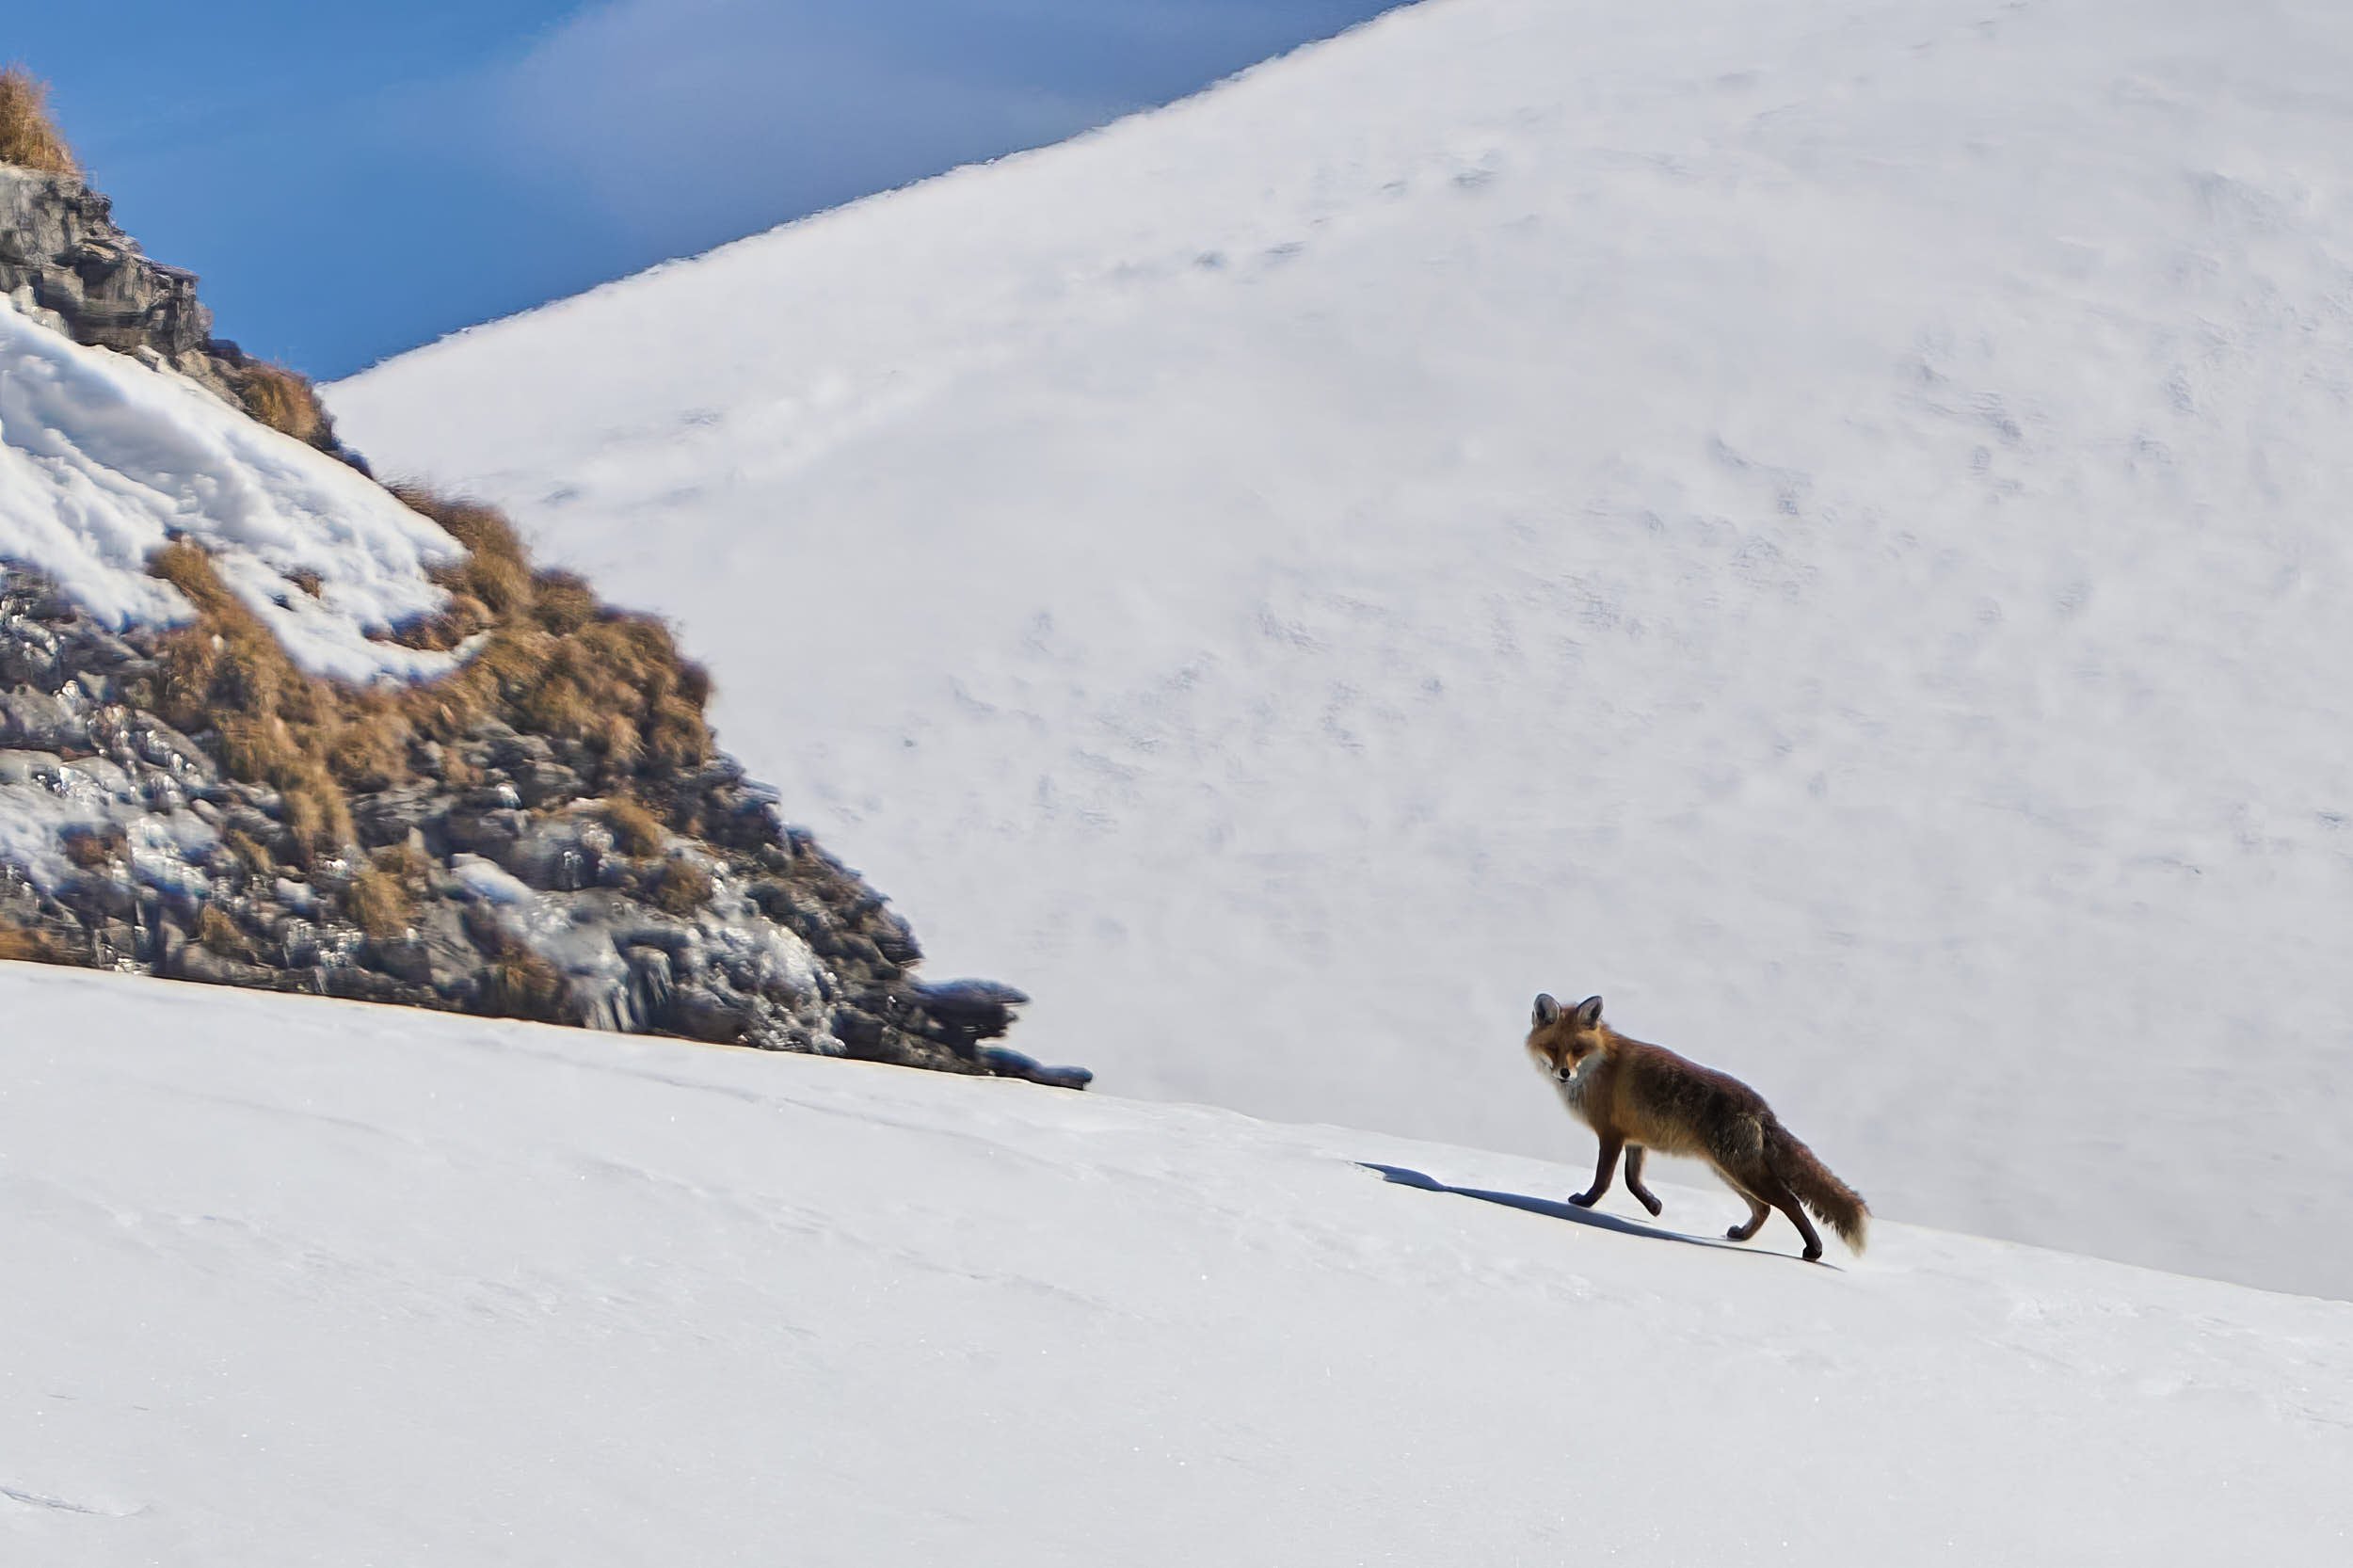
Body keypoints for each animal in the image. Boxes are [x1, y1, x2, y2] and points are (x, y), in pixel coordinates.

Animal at [1523, 993, 1868, 1261]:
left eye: (1578, 1048)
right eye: (1553, 1047)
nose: (1565, 1073)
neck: (1598, 1068)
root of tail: (1763, 1109)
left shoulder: (1611, 1135)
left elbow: (1604, 1180)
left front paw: (1585, 1203)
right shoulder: (1634, 1138)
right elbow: (1632, 1181)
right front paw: (1654, 1206)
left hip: (1741, 1171)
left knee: (1790, 1202)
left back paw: (1814, 1251)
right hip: (1729, 1171)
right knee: (1764, 1209)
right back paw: (1741, 1235)